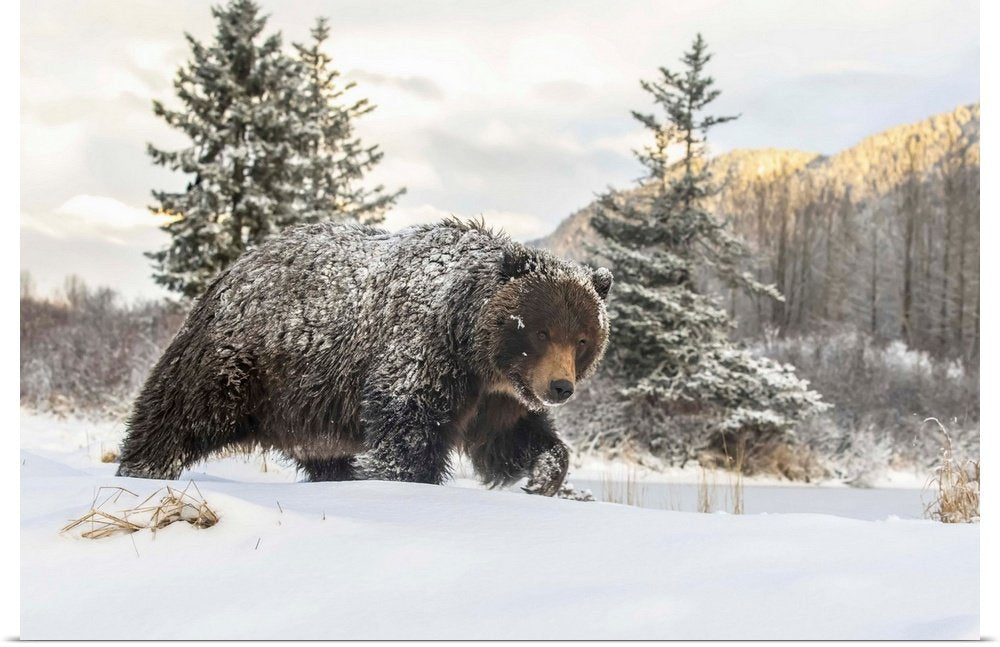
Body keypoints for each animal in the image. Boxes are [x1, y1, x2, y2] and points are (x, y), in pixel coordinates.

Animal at [116, 218, 613, 496]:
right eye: (541, 330)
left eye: (583, 338)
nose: (560, 387)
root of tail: (232, 269)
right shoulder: (422, 355)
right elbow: (407, 432)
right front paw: (396, 478)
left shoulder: (495, 396)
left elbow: (510, 440)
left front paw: (543, 475)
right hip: (245, 363)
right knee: (180, 412)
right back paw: (142, 467)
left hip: (308, 412)